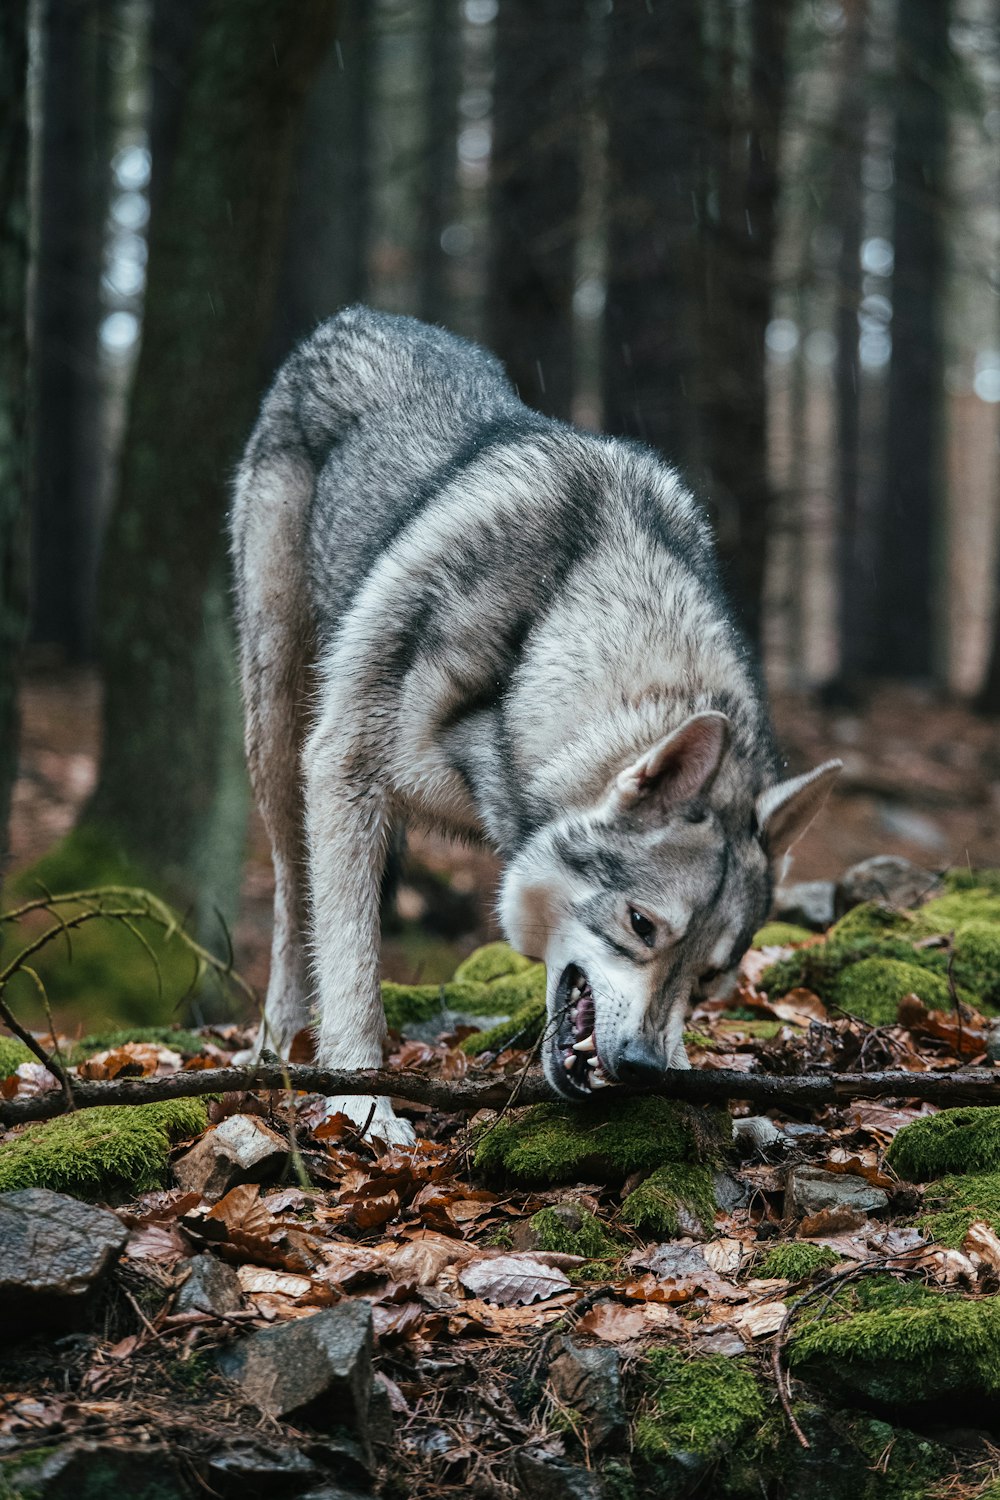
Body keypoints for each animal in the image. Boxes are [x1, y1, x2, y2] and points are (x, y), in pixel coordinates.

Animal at [230, 307, 839, 1146]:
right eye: (641, 925)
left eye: (711, 976)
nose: (641, 1069)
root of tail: (358, 317)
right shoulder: (344, 774)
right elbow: (353, 968)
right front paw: (363, 1107)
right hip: (279, 739)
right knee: (294, 911)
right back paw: (274, 1047)